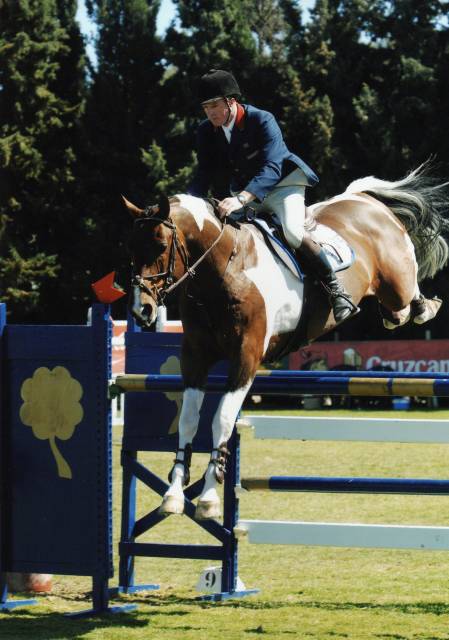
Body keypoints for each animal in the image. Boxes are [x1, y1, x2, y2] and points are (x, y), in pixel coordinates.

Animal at [125, 164, 448, 520]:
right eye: (130, 248)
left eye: (159, 245)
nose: (142, 310)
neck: (225, 268)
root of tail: (363, 198)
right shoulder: (195, 355)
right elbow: (188, 419)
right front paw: (173, 494)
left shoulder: (246, 356)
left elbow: (221, 419)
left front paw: (209, 498)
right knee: (396, 313)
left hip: (395, 280)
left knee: (408, 295)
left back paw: (425, 306)